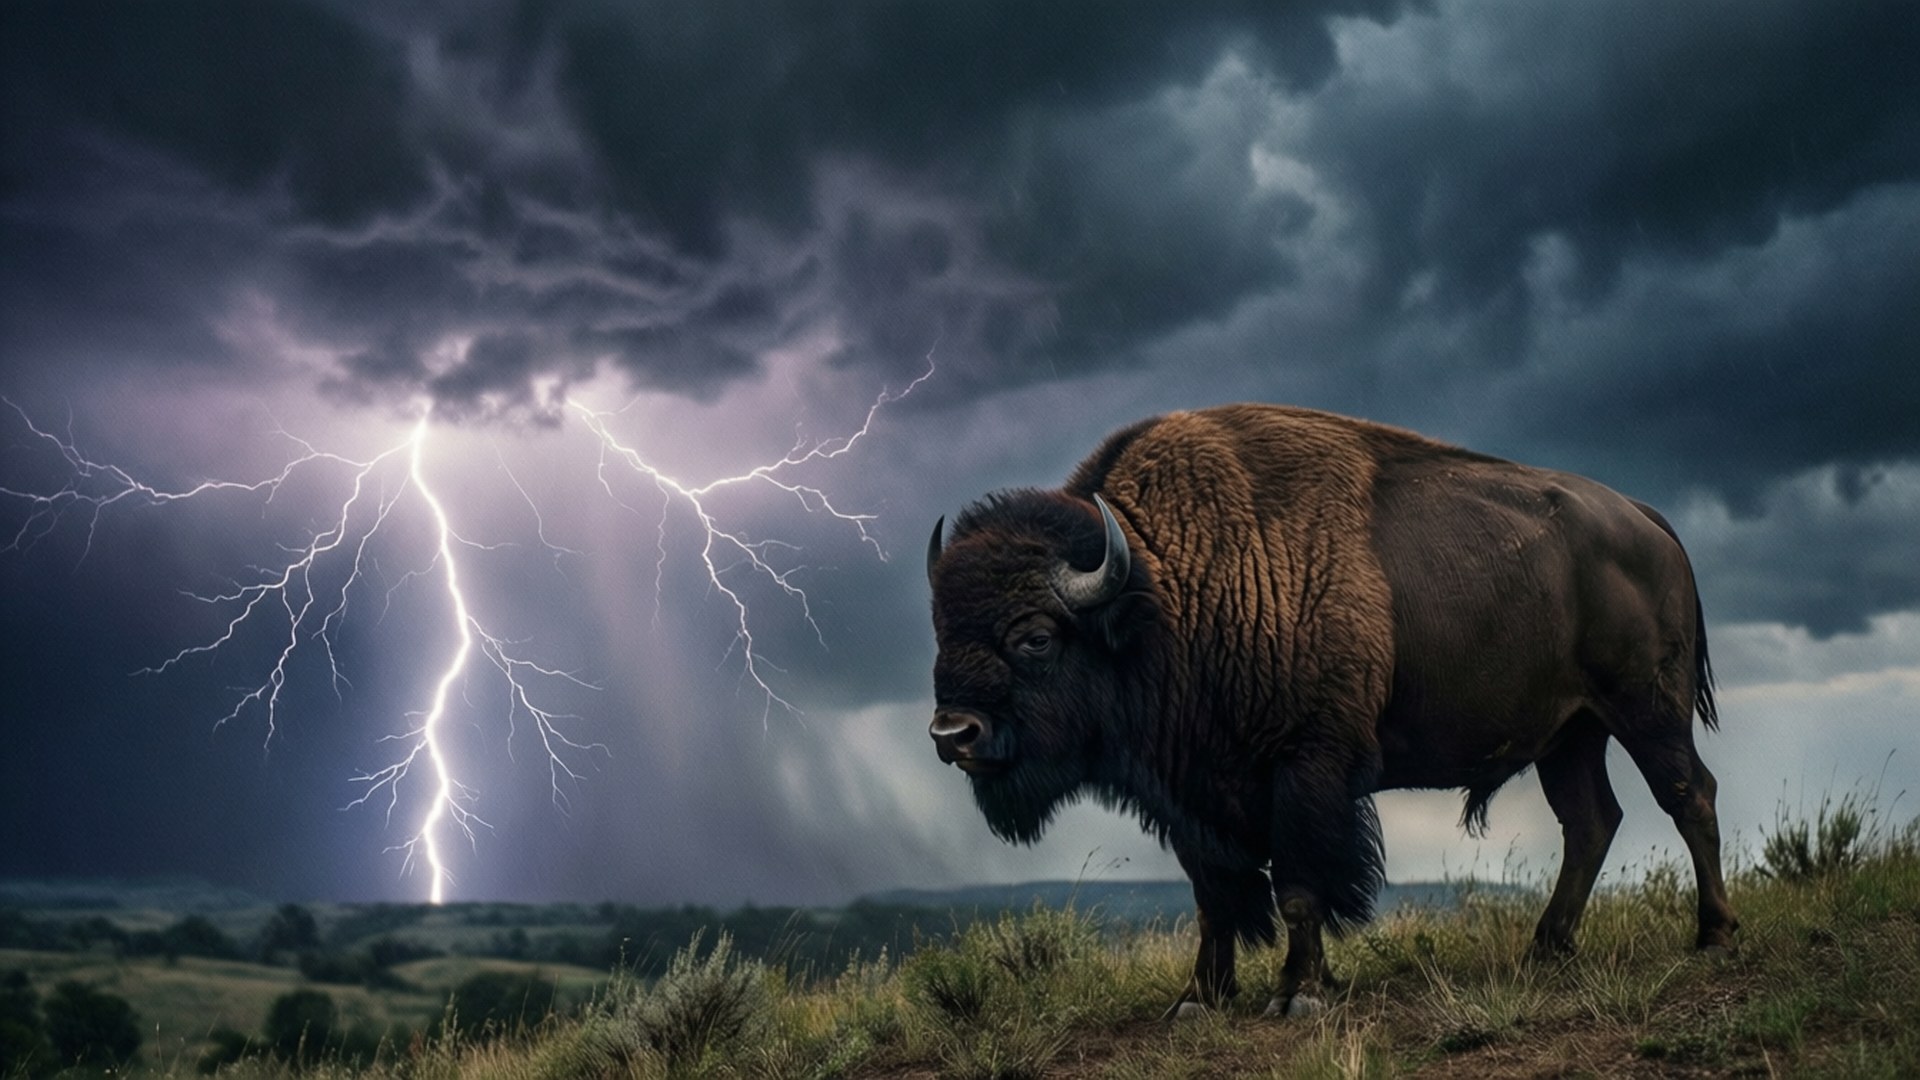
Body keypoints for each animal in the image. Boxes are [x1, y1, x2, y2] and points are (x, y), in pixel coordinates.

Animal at [924, 404, 1737, 1017]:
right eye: (941, 629)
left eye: (1034, 636)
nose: (951, 733)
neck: (1163, 589)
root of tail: (1647, 520)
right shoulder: (1191, 798)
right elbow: (1214, 897)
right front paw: (1197, 1000)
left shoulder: (1306, 768)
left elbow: (1299, 887)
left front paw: (1299, 996)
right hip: (1570, 735)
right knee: (1591, 821)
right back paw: (1544, 950)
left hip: (1645, 708)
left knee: (1688, 793)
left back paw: (1715, 935)